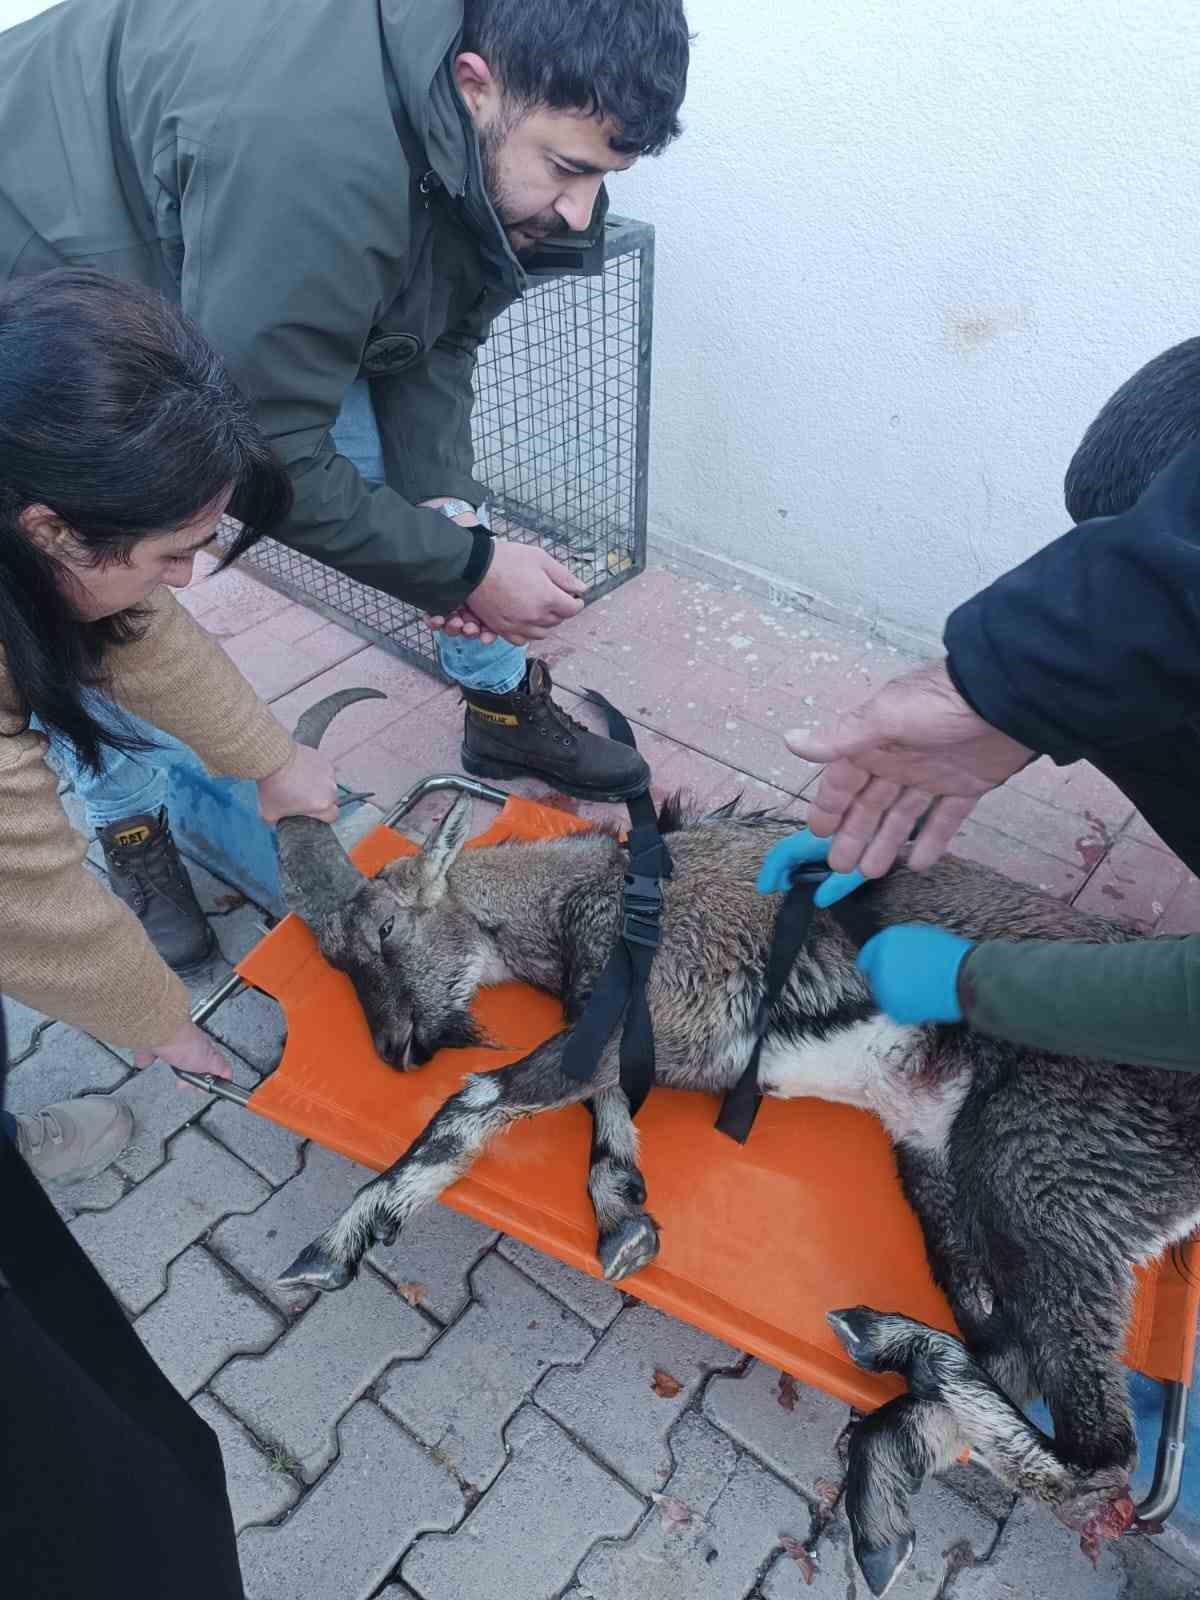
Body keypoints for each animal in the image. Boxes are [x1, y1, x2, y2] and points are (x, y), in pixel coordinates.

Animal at [276, 691, 1200, 1600]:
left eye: (387, 931)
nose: (397, 1051)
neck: (610, 897)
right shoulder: (640, 1046)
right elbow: (605, 1114)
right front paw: (625, 1222)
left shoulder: (648, 1020)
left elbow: (475, 1102)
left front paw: (335, 1245)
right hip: (940, 1165)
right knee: (1003, 1349)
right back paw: (881, 1497)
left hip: (1040, 1173)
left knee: (1101, 1466)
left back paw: (878, 1343)